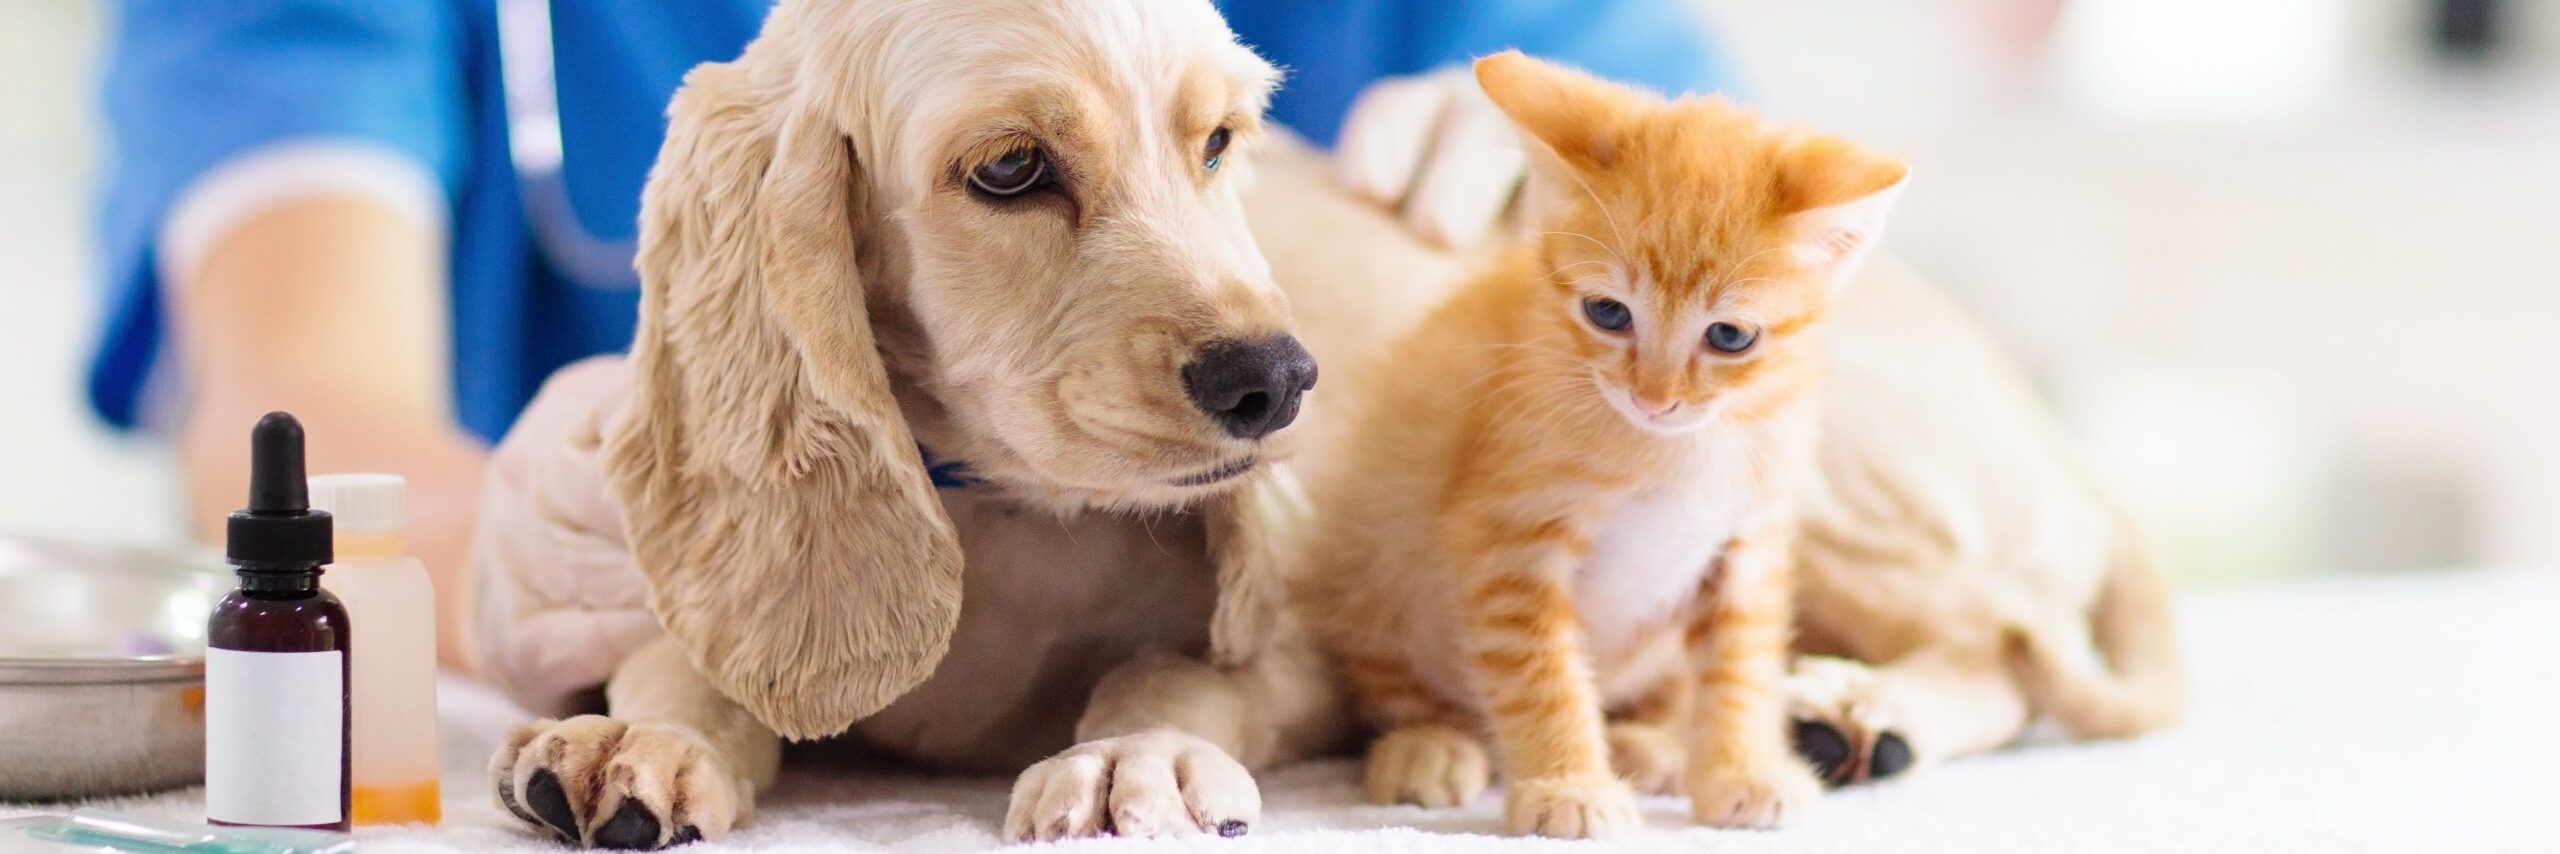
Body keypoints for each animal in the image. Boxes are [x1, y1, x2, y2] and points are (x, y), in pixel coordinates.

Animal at [1310, 51, 1914, 833]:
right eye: (1607, 313)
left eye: (1729, 335)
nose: (1654, 398)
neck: (1678, 452)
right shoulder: (1508, 542)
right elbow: (1541, 674)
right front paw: (1568, 787)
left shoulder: (1747, 545)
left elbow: (1741, 666)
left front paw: (1741, 768)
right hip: (1376, 565)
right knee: (1399, 680)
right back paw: (1428, 745)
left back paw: (1647, 744)